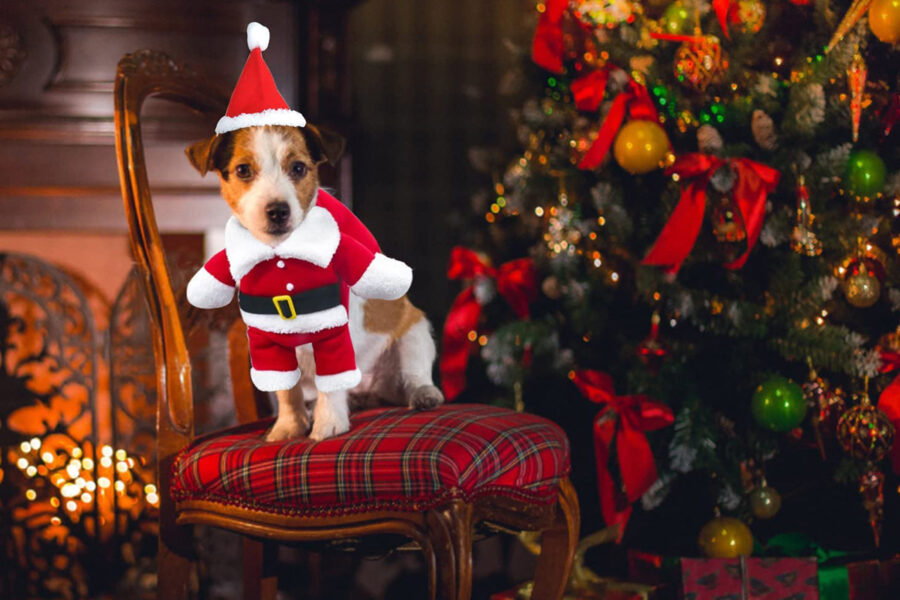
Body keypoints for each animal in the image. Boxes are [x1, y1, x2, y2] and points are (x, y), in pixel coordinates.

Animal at [185, 123, 442, 440]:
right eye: (243, 170)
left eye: (298, 168)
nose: (278, 210)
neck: (281, 255)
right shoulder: (269, 339)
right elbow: (286, 390)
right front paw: (290, 425)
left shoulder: (334, 331)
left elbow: (330, 383)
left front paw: (328, 423)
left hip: (414, 334)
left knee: (414, 373)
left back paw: (423, 394)